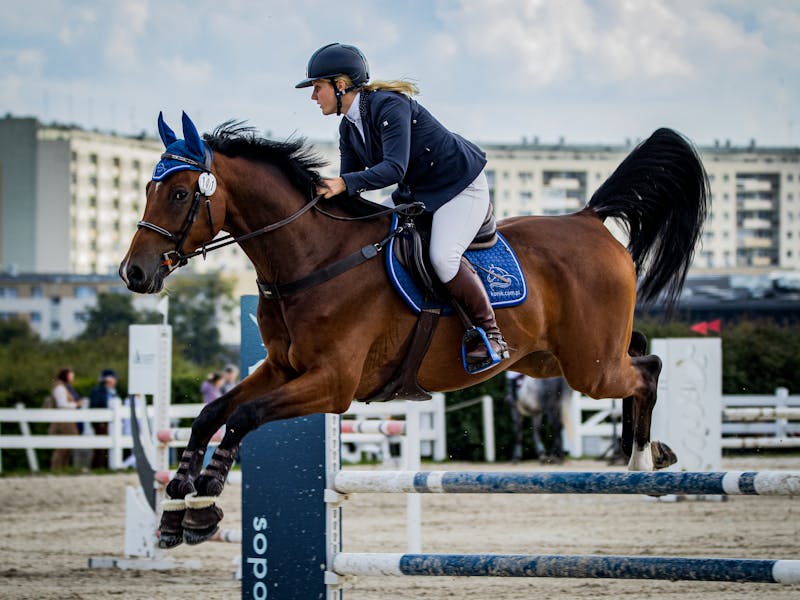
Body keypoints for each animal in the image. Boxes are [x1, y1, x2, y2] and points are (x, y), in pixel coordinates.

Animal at [117, 112, 708, 548]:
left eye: (178, 194)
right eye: (146, 188)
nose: (134, 274)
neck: (312, 258)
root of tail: (589, 218)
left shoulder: (332, 384)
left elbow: (243, 416)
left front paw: (204, 502)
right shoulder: (283, 369)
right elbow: (211, 413)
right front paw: (177, 507)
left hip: (590, 368)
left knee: (647, 369)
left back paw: (641, 458)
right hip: (553, 360)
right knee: (640, 352)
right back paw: (650, 452)